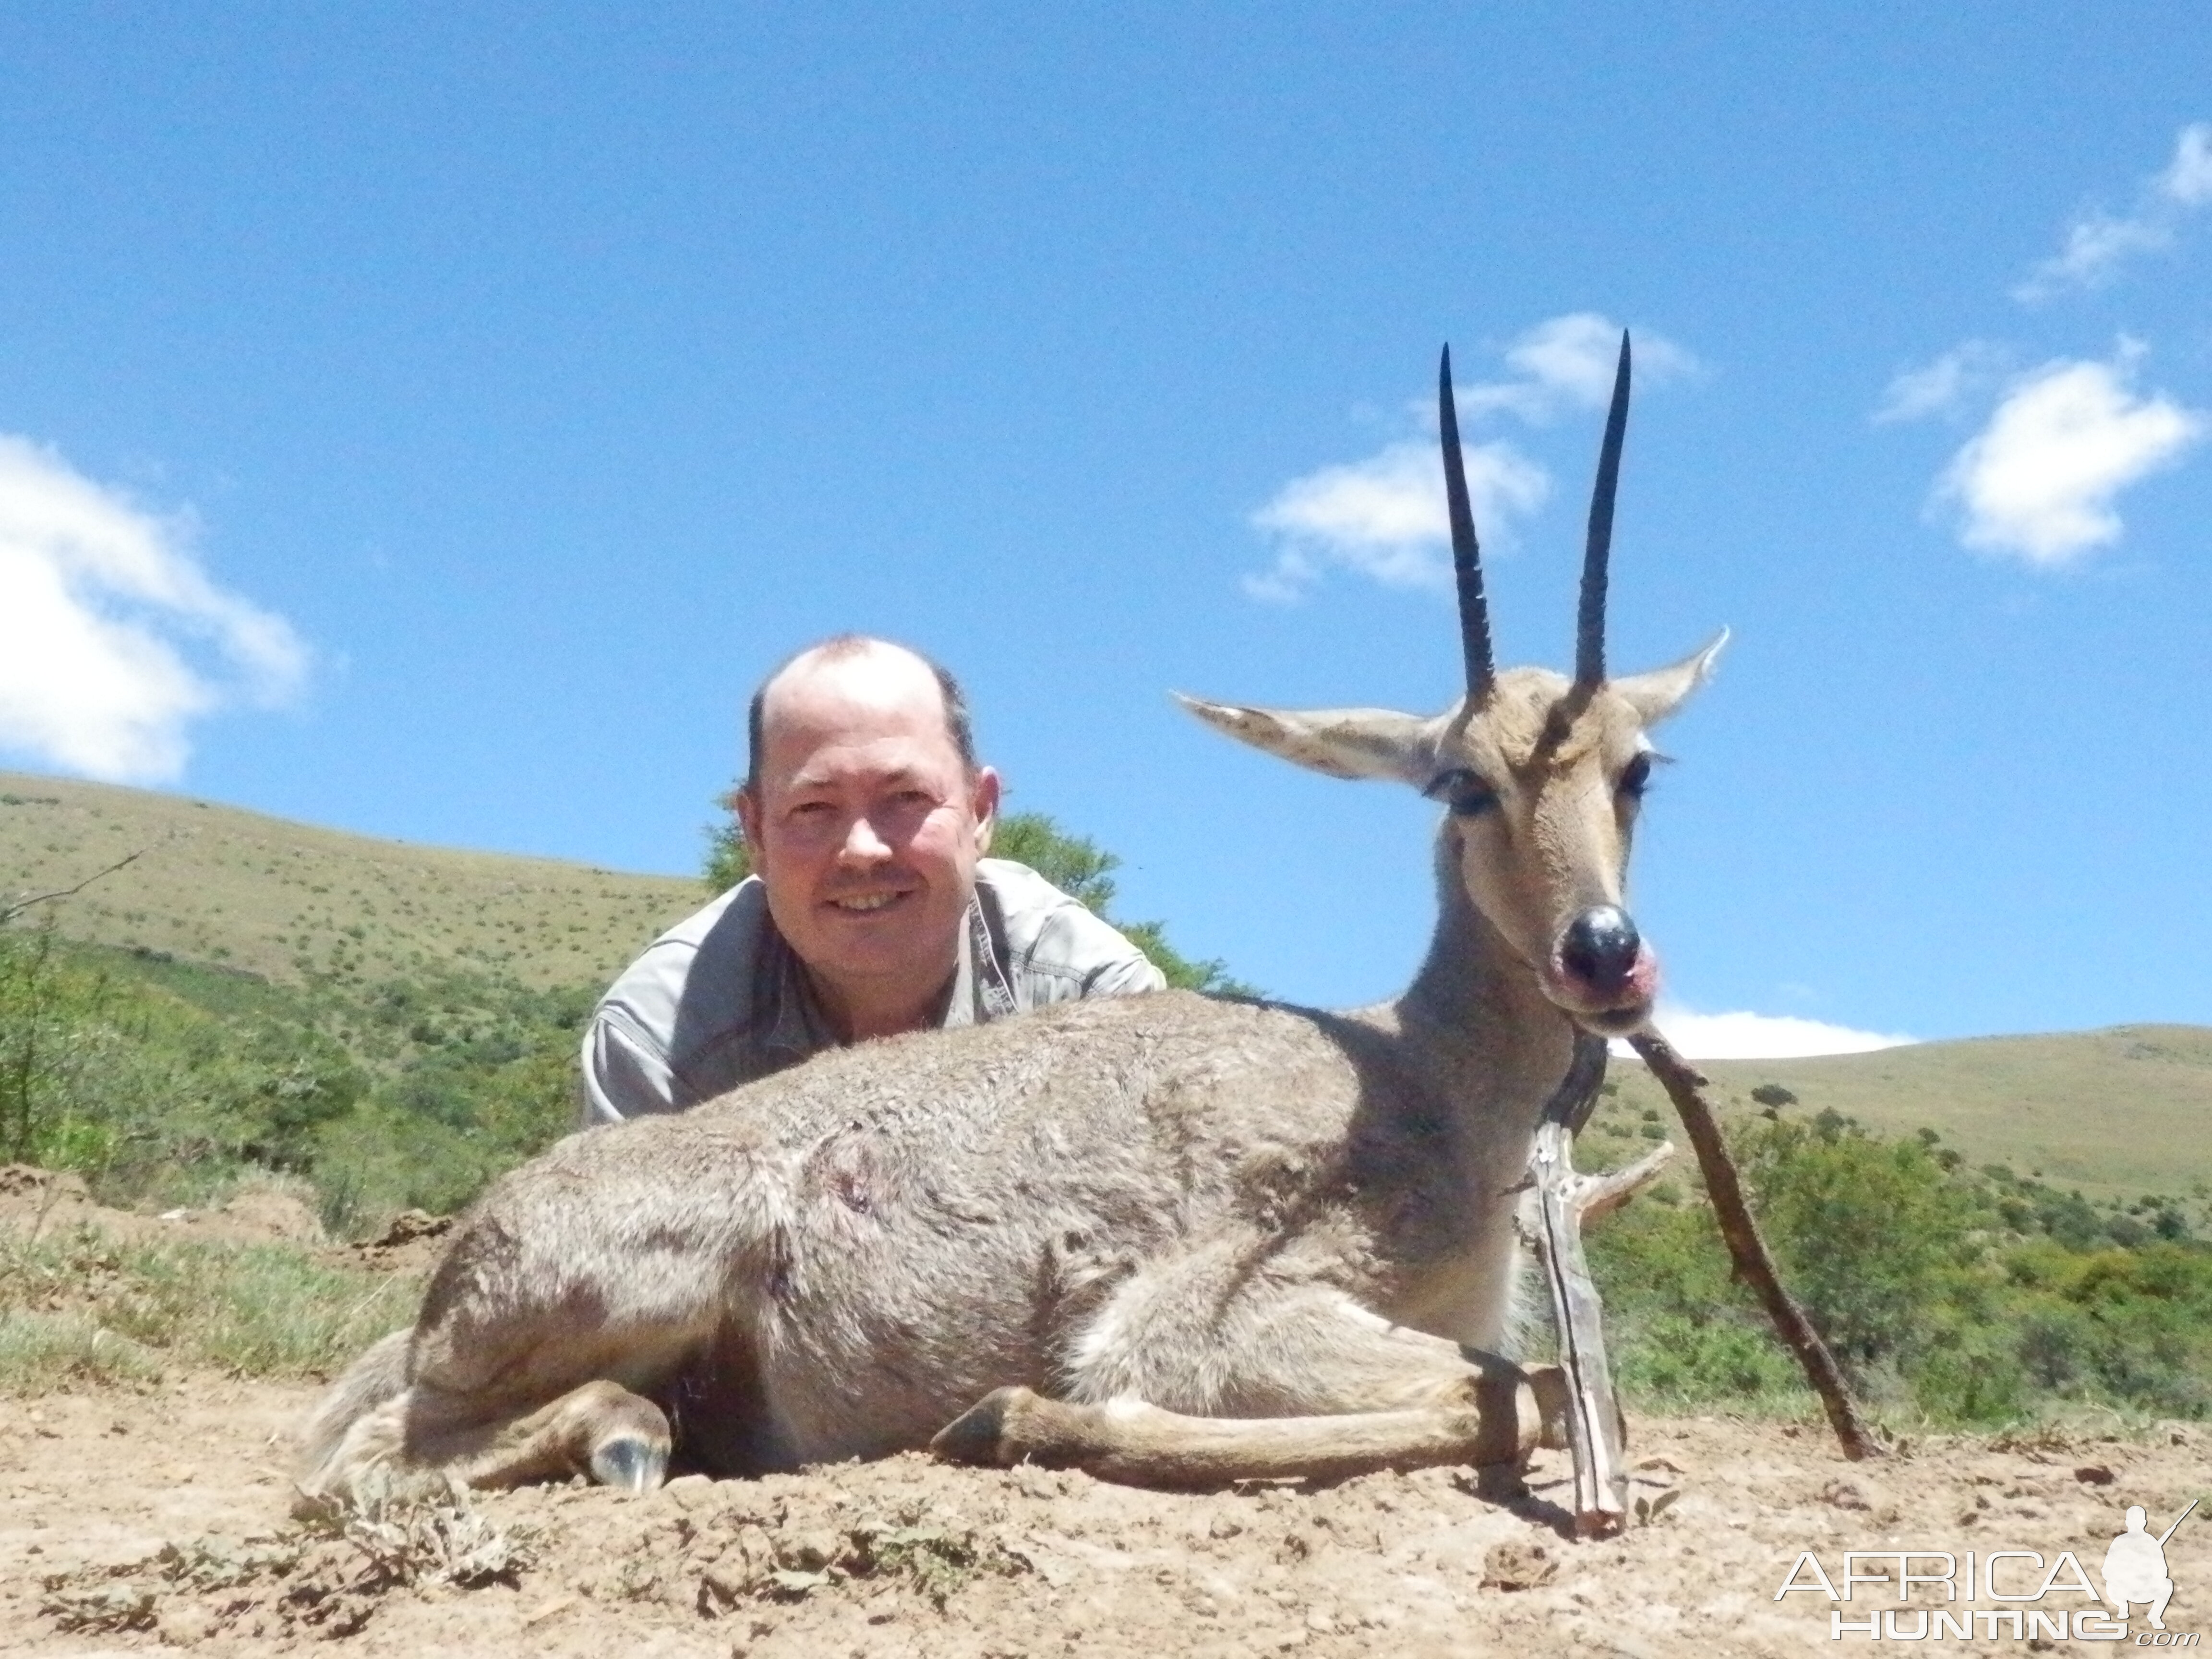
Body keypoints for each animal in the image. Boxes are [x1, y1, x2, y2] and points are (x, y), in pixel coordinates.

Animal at [299, 338, 1725, 1522]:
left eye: (1638, 768)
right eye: (1462, 781)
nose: (1603, 954)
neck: (1414, 1072)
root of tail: (464, 1263)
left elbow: (1516, 1385)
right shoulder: (1206, 1322)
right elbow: (1517, 1392)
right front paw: (1014, 1414)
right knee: (360, 1462)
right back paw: (625, 1433)